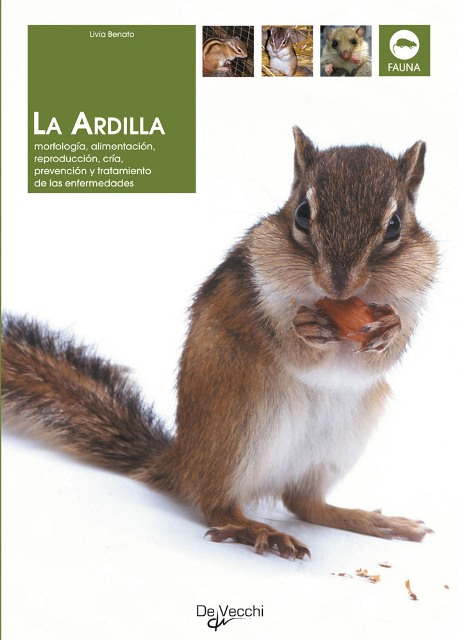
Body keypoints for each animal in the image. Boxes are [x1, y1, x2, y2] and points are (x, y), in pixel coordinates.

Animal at [2, 128, 438, 560]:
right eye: (301, 213)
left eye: (395, 225)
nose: (339, 284)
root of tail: (182, 463)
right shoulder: (261, 292)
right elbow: (293, 347)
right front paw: (304, 327)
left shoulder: (413, 299)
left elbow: (381, 356)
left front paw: (389, 329)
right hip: (242, 425)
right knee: (218, 505)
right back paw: (257, 530)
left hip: (336, 445)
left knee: (305, 503)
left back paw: (373, 521)